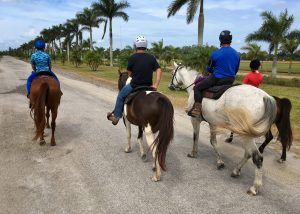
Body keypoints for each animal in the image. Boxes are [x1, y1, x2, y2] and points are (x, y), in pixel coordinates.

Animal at [169, 62, 278, 196]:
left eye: (172, 73)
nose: (170, 86)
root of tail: (265, 97)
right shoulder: (212, 122)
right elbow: (213, 142)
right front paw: (220, 162)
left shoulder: (195, 119)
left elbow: (196, 137)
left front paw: (193, 153)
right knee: (248, 153)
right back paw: (236, 171)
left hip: (246, 134)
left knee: (257, 157)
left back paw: (254, 187)